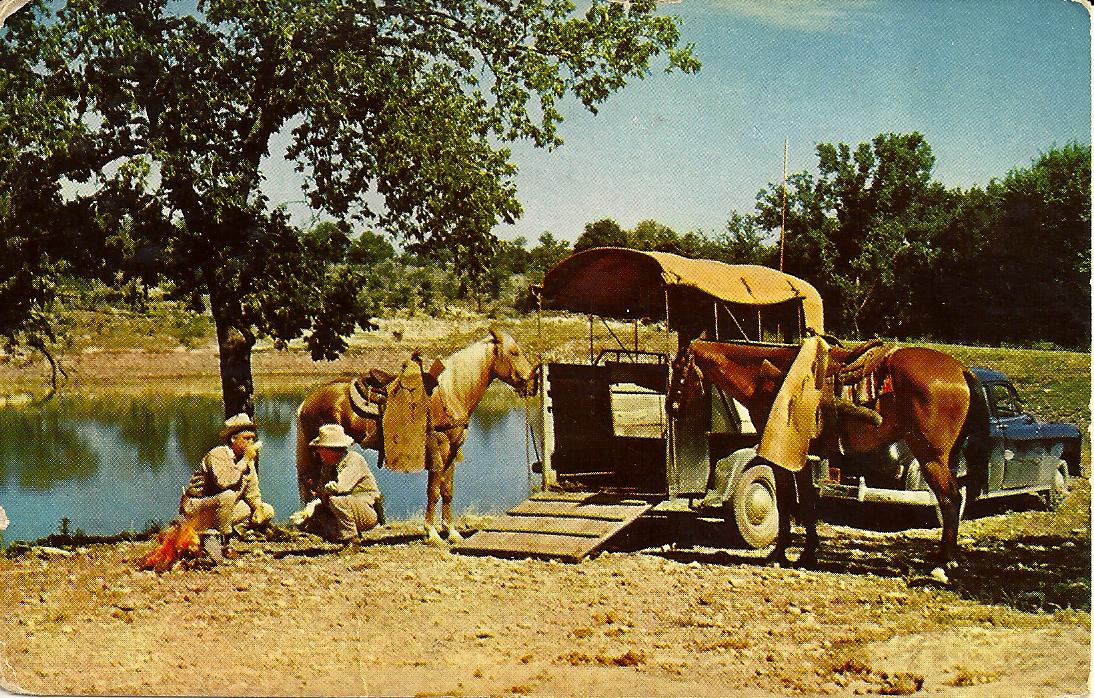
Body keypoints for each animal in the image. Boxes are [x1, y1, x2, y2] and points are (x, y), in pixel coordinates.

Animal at [297, 332, 536, 547]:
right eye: (514, 352)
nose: (532, 384)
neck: (451, 393)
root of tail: (308, 400)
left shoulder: (451, 453)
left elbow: (447, 491)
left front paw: (451, 532)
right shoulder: (439, 451)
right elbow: (433, 491)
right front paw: (432, 534)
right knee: (311, 484)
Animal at [665, 341, 993, 582]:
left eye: (678, 368)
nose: (671, 407)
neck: (767, 379)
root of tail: (962, 369)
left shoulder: (782, 456)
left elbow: (787, 502)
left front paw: (778, 554)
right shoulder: (803, 458)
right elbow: (807, 503)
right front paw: (808, 553)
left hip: (932, 457)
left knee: (950, 500)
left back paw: (943, 564)